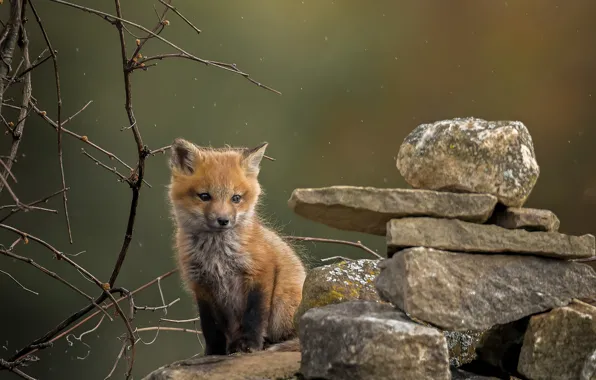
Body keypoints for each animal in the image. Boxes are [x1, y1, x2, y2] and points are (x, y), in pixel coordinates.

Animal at [168, 138, 308, 354]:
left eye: (236, 198)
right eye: (204, 196)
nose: (223, 220)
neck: (216, 256)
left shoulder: (260, 271)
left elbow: (254, 315)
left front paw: (250, 344)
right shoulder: (200, 284)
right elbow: (210, 327)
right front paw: (214, 352)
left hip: (282, 306)